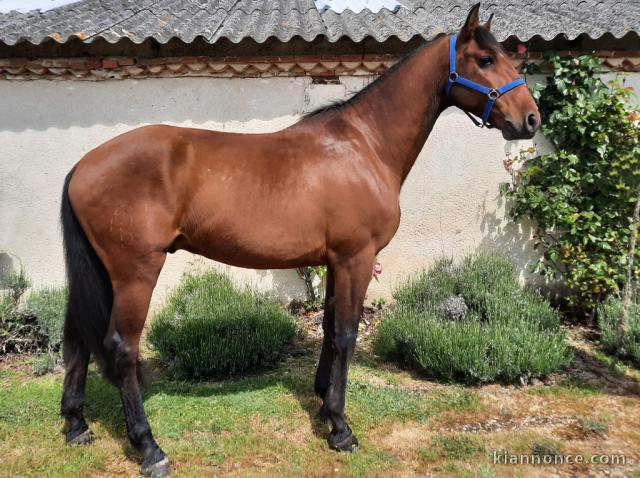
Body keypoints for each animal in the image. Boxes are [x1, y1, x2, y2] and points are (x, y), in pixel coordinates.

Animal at [59, 4, 539, 476]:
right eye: (486, 59)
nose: (531, 118)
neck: (364, 145)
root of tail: (82, 165)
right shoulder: (356, 257)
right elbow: (346, 333)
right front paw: (341, 429)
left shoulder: (335, 260)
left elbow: (328, 328)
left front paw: (324, 403)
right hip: (136, 272)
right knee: (120, 348)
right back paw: (150, 448)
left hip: (103, 272)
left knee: (77, 337)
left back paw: (77, 425)